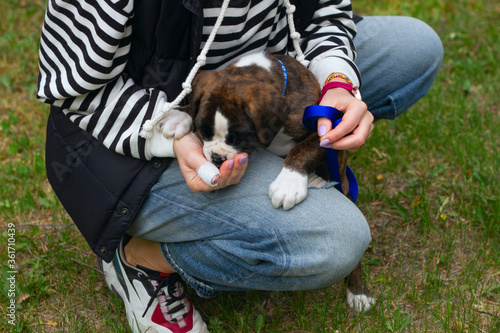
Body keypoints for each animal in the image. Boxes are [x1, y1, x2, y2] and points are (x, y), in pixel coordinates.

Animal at [182, 51, 374, 308]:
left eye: (236, 138)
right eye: (203, 132)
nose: (216, 158)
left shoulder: (327, 133)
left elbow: (303, 150)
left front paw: (288, 184)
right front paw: (173, 118)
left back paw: (358, 291)